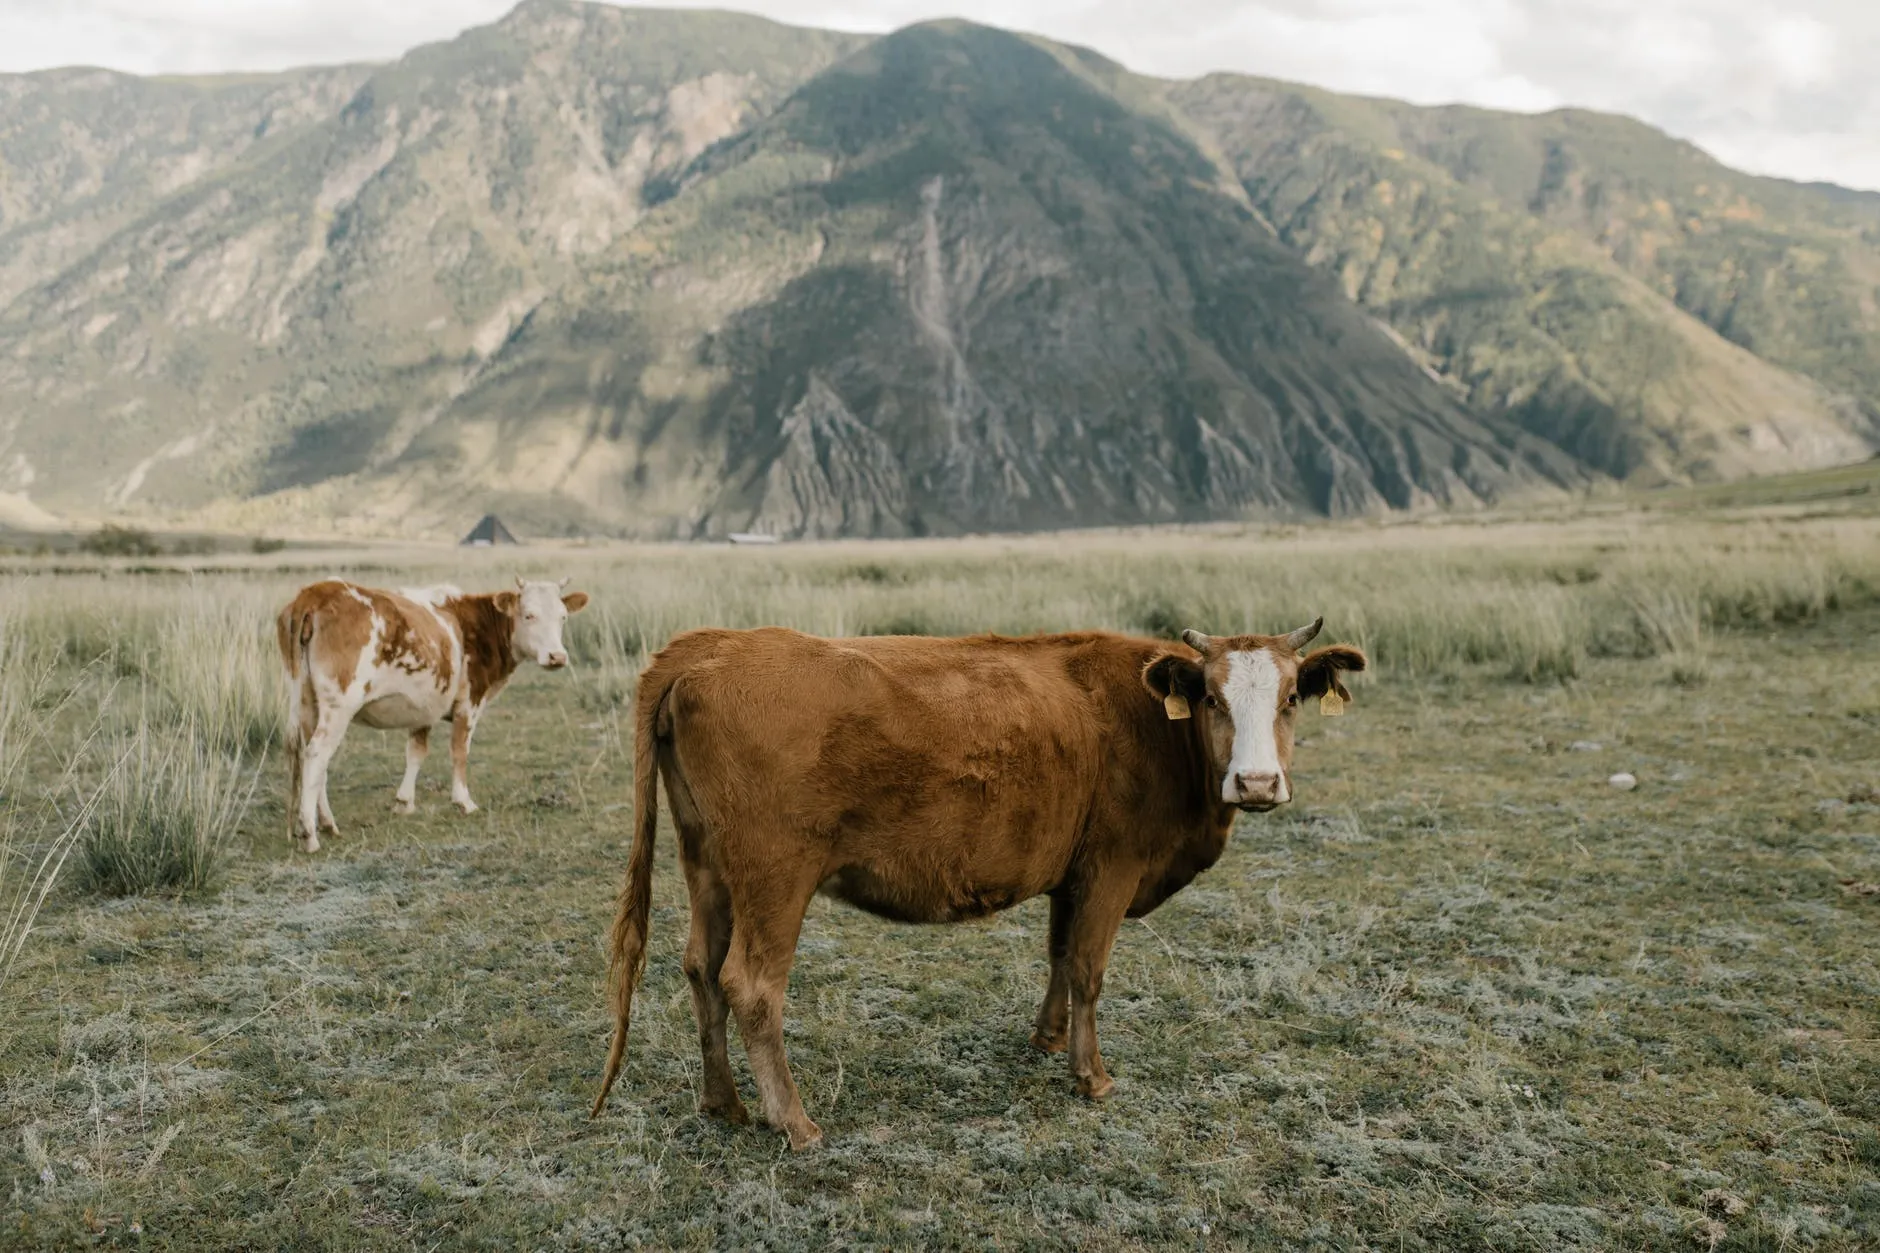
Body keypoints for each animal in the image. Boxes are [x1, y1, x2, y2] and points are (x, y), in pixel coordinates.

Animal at [272, 575, 586, 850]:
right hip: (339, 705)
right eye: (529, 615)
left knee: (313, 759)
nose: (557, 657)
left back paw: (326, 824)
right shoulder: (469, 703)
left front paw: (404, 802)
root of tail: (316, 592)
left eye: (563, 617)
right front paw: (463, 801)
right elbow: (459, 751)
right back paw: (310, 834)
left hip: (307, 702)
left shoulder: (422, 705)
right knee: (317, 754)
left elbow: (416, 752)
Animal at [590, 613, 1368, 1143]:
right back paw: (796, 1122)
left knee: (700, 967)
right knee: (749, 984)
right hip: (775, 875)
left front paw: (1048, 1039)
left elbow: (1060, 955)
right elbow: (1089, 967)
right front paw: (1092, 1076)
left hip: (706, 865)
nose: (1257, 782)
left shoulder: (1072, 870)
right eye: (1210, 697)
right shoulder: (1113, 865)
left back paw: (723, 1102)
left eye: (1292, 697)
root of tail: (714, 641)